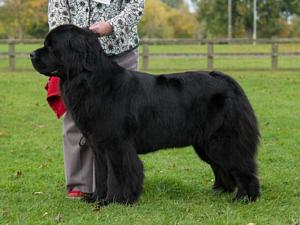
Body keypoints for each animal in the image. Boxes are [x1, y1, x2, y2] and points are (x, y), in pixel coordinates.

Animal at [31, 24, 260, 206]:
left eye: (51, 46)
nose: (31, 55)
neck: (90, 81)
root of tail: (227, 81)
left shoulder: (116, 145)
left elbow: (118, 174)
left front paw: (114, 200)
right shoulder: (98, 145)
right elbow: (102, 174)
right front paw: (96, 198)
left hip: (224, 140)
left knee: (242, 166)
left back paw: (245, 198)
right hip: (205, 143)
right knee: (221, 167)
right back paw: (219, 190)